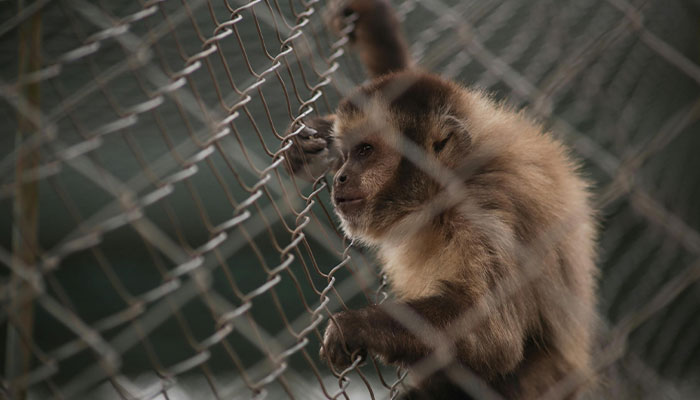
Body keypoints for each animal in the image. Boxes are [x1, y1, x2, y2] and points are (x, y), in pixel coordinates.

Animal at [286, 1, 598, 398]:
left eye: (366, 152)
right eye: (344, 156)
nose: (340, 176)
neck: (453, 183)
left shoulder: (483, 212)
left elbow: (496, 339)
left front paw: (356, 326)